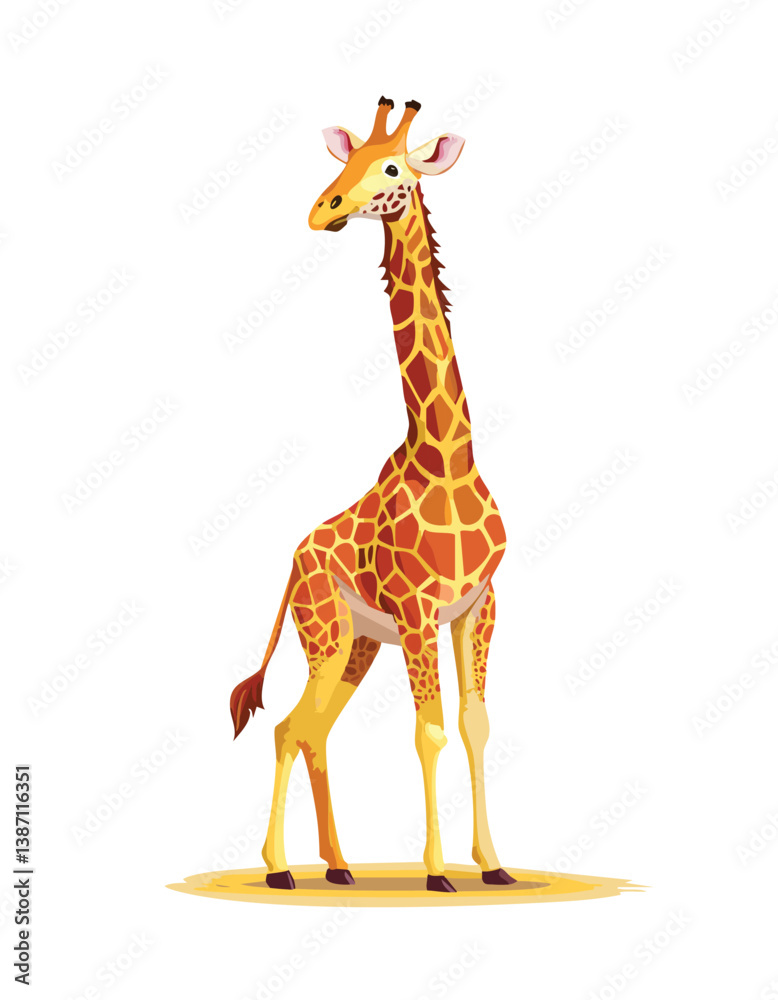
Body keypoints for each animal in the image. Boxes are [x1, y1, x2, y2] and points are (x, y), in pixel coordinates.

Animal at [230, 97, 515, 893]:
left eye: (392, 168)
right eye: (345, 162)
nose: (324, 209)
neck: (445, 458)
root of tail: (294, 562)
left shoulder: (477, 605)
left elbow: (476, 724)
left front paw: (493, 865)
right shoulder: (418, 612)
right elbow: (430, 731)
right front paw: (439, 872)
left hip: (355, 643)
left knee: (308, 729)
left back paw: (337, 865)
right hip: (326, 634)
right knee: (291, 727)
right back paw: (281, 868)